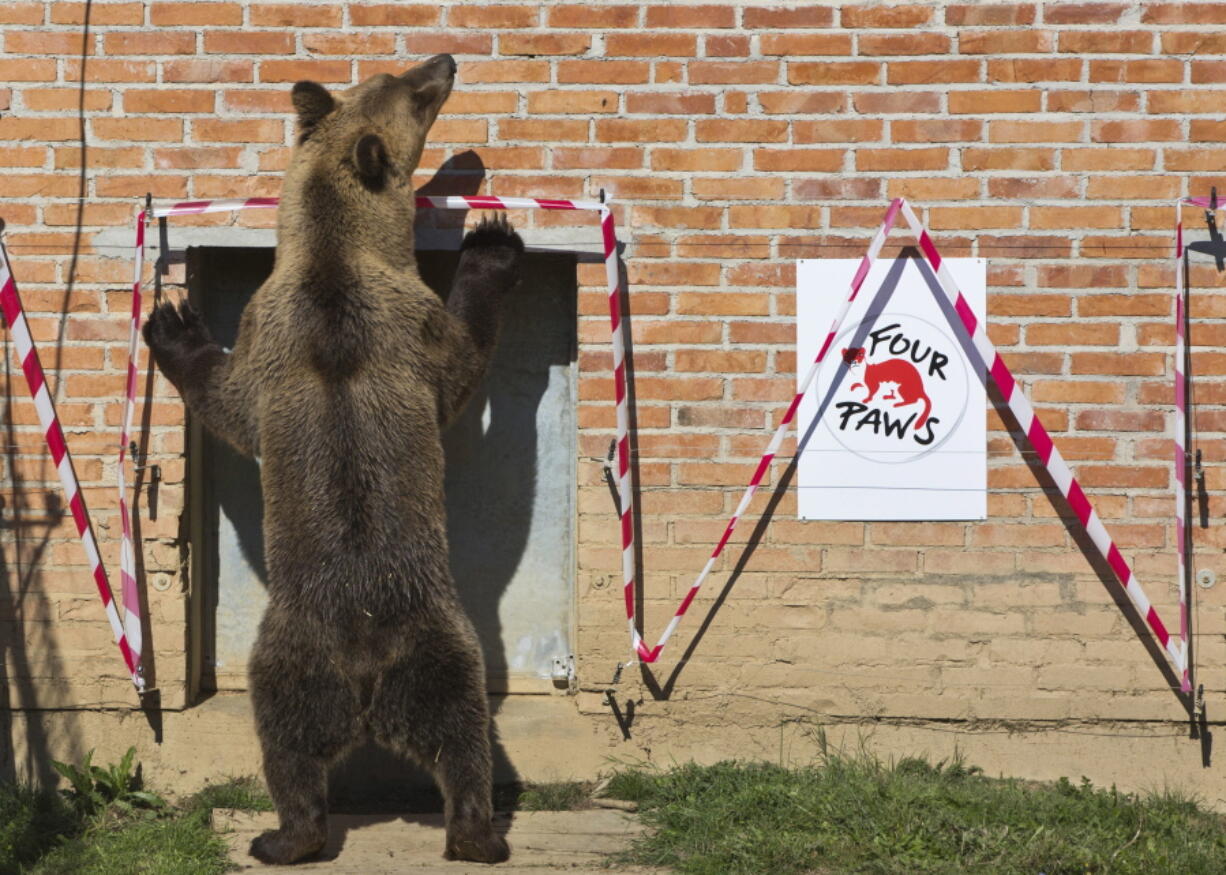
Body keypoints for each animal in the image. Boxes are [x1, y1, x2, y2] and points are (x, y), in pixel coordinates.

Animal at [142, 56, 517, 867]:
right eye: (411, 88)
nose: (447, 60)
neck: (334, 253)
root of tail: (367, 665)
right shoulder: (316, 329)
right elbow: (230, 400)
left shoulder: (362, 329)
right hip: (352, 648)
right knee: (403, 740)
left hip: (395, 644)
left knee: (418, 741)